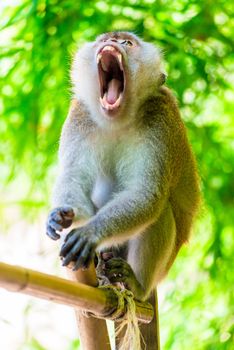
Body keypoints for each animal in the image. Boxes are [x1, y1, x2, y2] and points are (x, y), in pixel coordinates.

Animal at [46, 31, 201, 302]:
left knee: (160, 213)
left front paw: (91, 233)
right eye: (105, 39)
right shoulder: (79, 115)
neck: (117, 119)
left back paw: (137, 285)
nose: (113, 43)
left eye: (127, 43)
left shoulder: (161, 119)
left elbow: (146, 194)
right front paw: (60, 217)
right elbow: (73, 177)